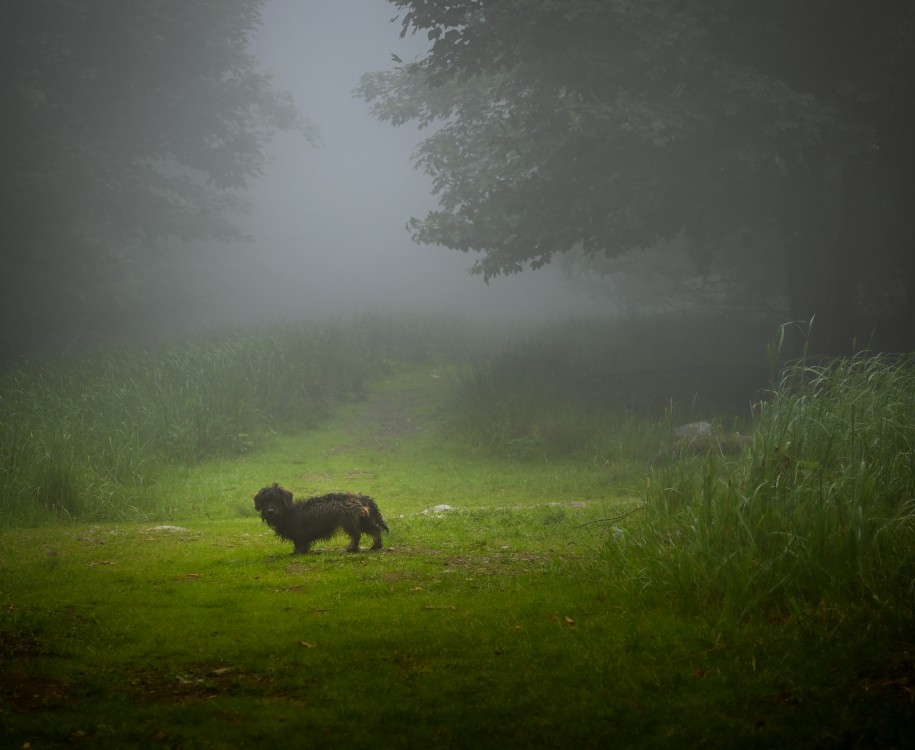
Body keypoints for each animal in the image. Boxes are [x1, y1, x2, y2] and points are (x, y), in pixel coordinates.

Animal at [254, 484, 390, 556]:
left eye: (277, 500)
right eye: (265, 500)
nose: (270, 511)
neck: (289, 512)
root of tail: (360, 496)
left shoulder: (300, 533)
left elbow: (300, 543)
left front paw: (299, 552)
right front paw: (297, 551)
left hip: (349, 522)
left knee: (356, 535)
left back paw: (351, 548)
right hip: (363, 520)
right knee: (375, 531)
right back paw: (376, 546)